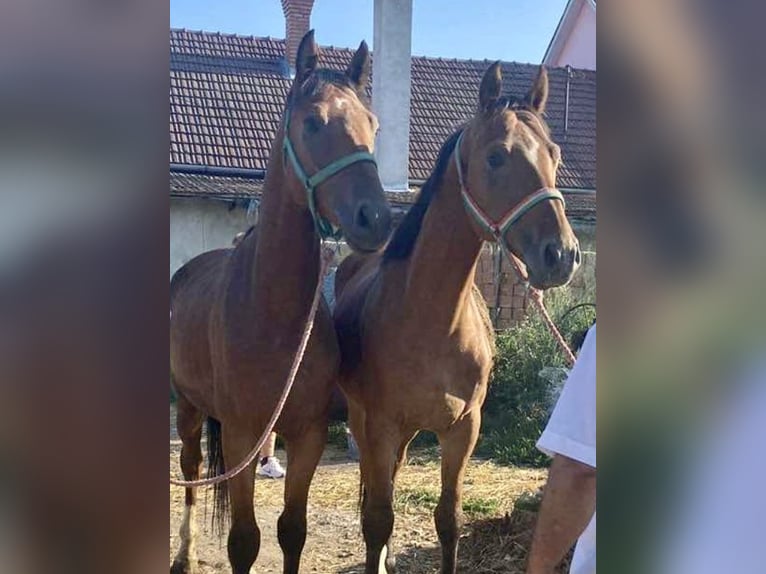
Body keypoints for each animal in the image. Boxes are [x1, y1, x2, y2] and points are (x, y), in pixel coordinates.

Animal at [170, 31, 392, 574]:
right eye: (312, 122)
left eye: (373, 125)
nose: (375, 219)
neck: (274, 318)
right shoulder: (242, 434)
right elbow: (243, 541)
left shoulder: (307, 433)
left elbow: (292, 530)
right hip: (188, 406)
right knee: (190, 472)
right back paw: (184, 554)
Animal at [336, 64, 584, 574]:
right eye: (495, 157)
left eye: (555, 154)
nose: (562, 255)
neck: (430, 318)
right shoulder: (380, 425)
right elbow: (378, 520)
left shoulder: (463, 428)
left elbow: (448, 519)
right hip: (362, 419)